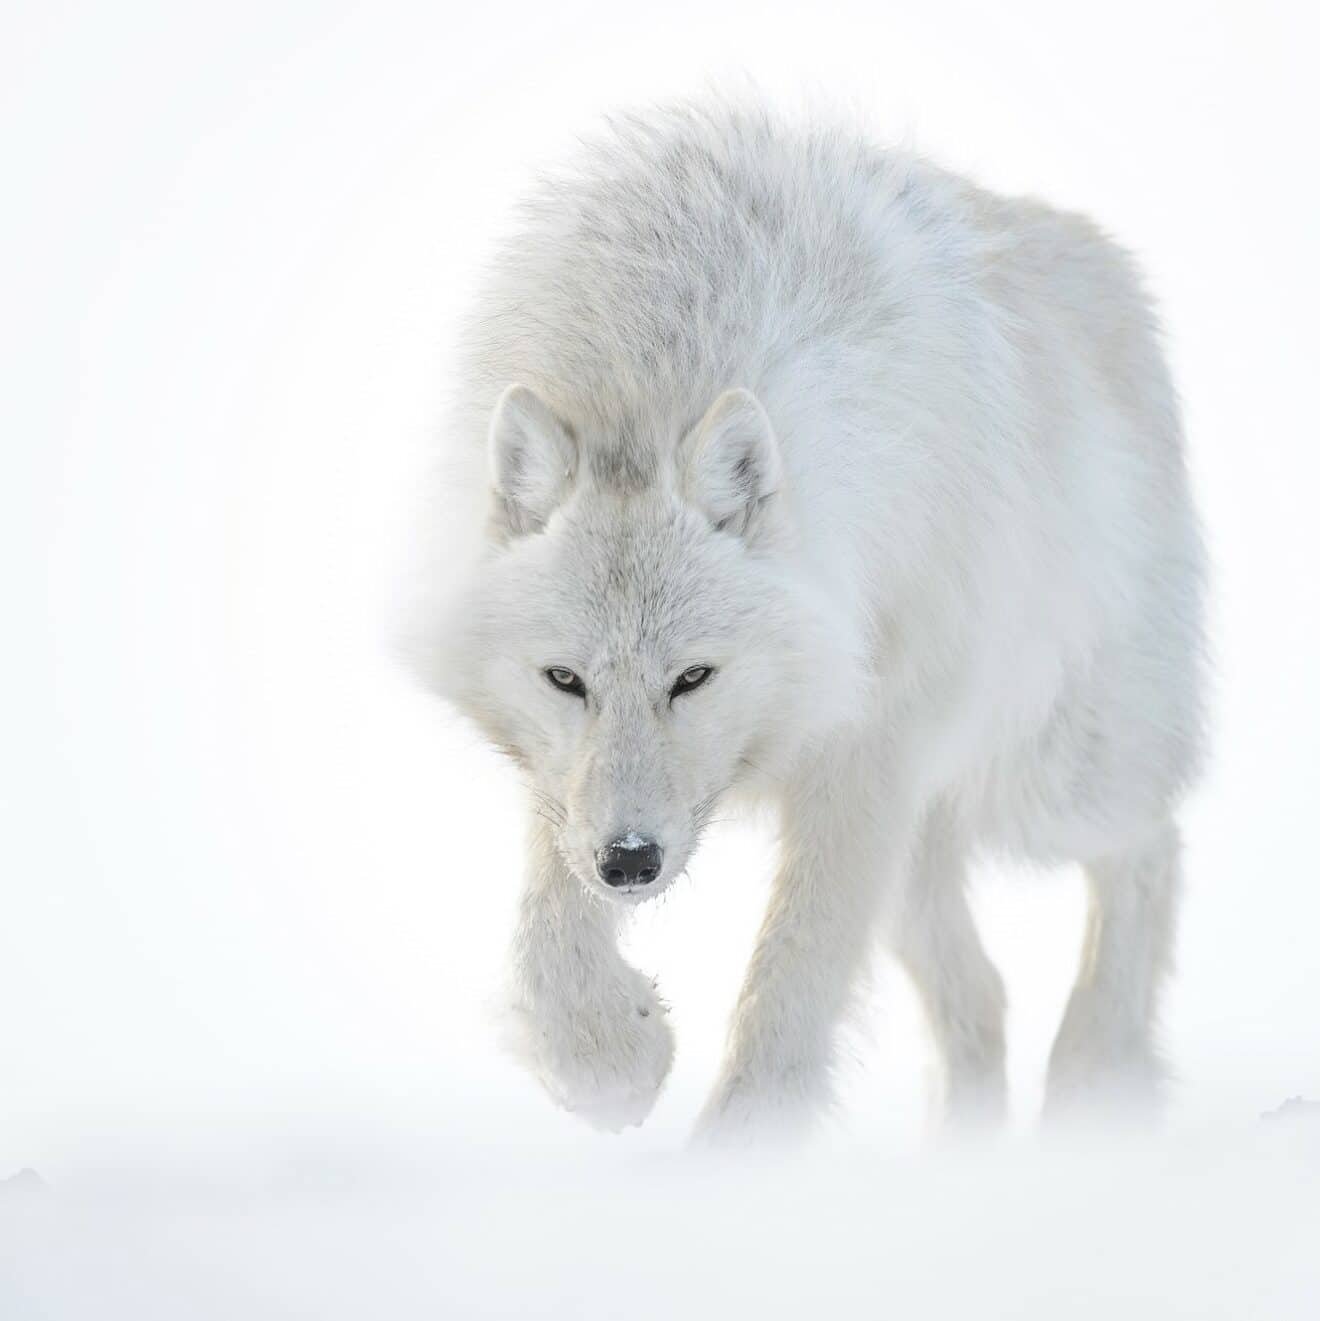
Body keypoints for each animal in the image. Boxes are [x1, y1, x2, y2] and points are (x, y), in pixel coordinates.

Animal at [412, 97, 1210, 1141]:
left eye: (693, 677)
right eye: (566, 680)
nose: (631, 863)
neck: (653, 363)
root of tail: (1106, 261)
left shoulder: (868, 748)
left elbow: (793, 978)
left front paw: (738, 1152)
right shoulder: (569, 783)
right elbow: (549, 929)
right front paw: (609, 1060)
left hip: (1046, 778)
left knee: (1151, 843)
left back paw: (1095, 1079)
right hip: (927, 846)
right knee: (985, 995)